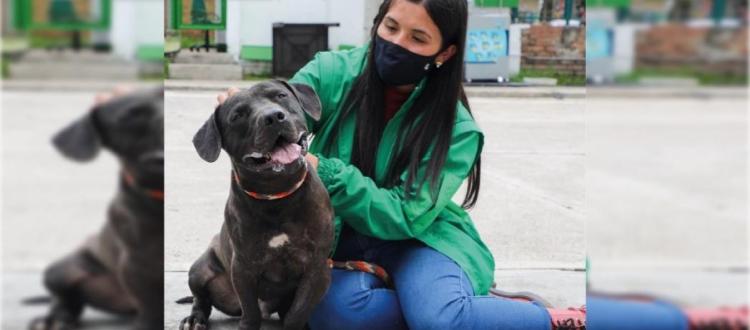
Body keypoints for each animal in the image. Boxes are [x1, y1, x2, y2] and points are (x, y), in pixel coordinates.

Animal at [30, 87, 164, 330]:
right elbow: (151, 308)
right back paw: (57, 317)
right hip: (61, 271)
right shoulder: (137, 264)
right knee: (67, 298)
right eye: (130, 116)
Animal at [181, 80, 334, 330]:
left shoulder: (317, 269)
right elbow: (250, 312)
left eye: (281, 96)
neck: (277, 196)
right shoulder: (243, 267)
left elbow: (297, 313)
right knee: (201, 299)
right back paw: (194, 319)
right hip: (200, 269)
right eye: (237, 115)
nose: (273, 117)